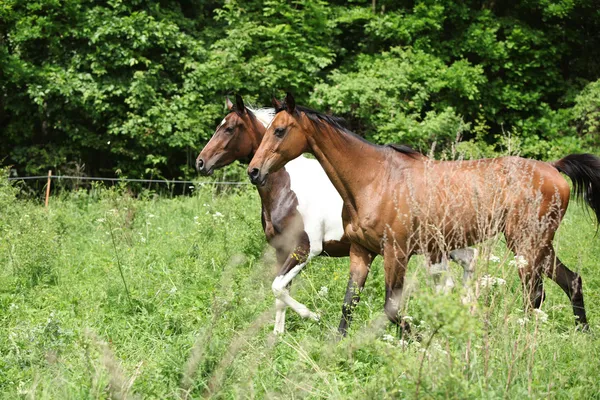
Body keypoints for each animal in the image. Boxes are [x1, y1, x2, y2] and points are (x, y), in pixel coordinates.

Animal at [199, 95, 476, 332]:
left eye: (229, 128)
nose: (201, 163)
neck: (288, 186)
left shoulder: (306, 248)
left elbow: (278, 287)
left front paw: (313, 315)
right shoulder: (281, 249)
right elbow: (281, 291)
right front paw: (277, 337)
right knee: (465, 264)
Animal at [248, 92, 600, 332]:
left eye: (279, 130)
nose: (254, 171)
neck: (373, 179)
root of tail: (553, 168)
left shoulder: (396, 253)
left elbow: (392, 310)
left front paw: (418, 340)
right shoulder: (362, 251)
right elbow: (349, 305)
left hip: (526, 243)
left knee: (534, 293)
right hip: (538, 244)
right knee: (571, 281)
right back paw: (580, 332)